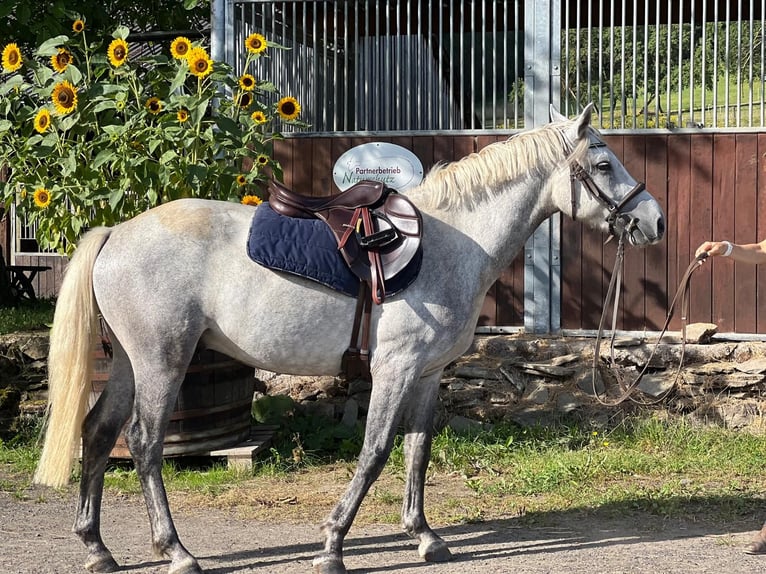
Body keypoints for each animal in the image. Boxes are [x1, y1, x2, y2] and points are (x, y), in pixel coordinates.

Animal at [34, 104, 664, 574]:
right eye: (602, 163)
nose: (653, 221)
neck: (451, 242)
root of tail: (117, 231)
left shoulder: (428, 373)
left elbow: (417, 450)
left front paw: (425, 537)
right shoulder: (395, 368)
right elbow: (376, 449)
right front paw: (334, 544)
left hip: (128, 362)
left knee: (98, 432)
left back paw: (97, 548)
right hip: (163, 360)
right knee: (143, 443)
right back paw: (177, 551)